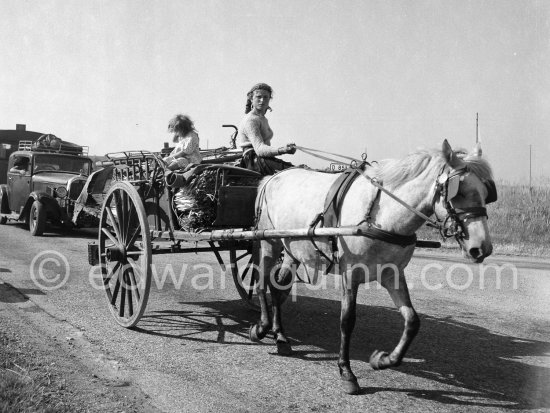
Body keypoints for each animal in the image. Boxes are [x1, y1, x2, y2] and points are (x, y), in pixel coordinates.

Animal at [249, 140, 496, 394]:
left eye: (487, 193)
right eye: (460, 191)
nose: (482, 248)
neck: (383, 214)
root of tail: (272, 177)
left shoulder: (392, 274)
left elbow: (412, 320)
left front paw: (383, 360)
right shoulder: (350, 273)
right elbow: (347, 320)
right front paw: (346, 371)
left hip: (292, 250)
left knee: (278, 289)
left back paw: (281, 337)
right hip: (269, 242)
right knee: (261, 283)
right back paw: (262, 327)